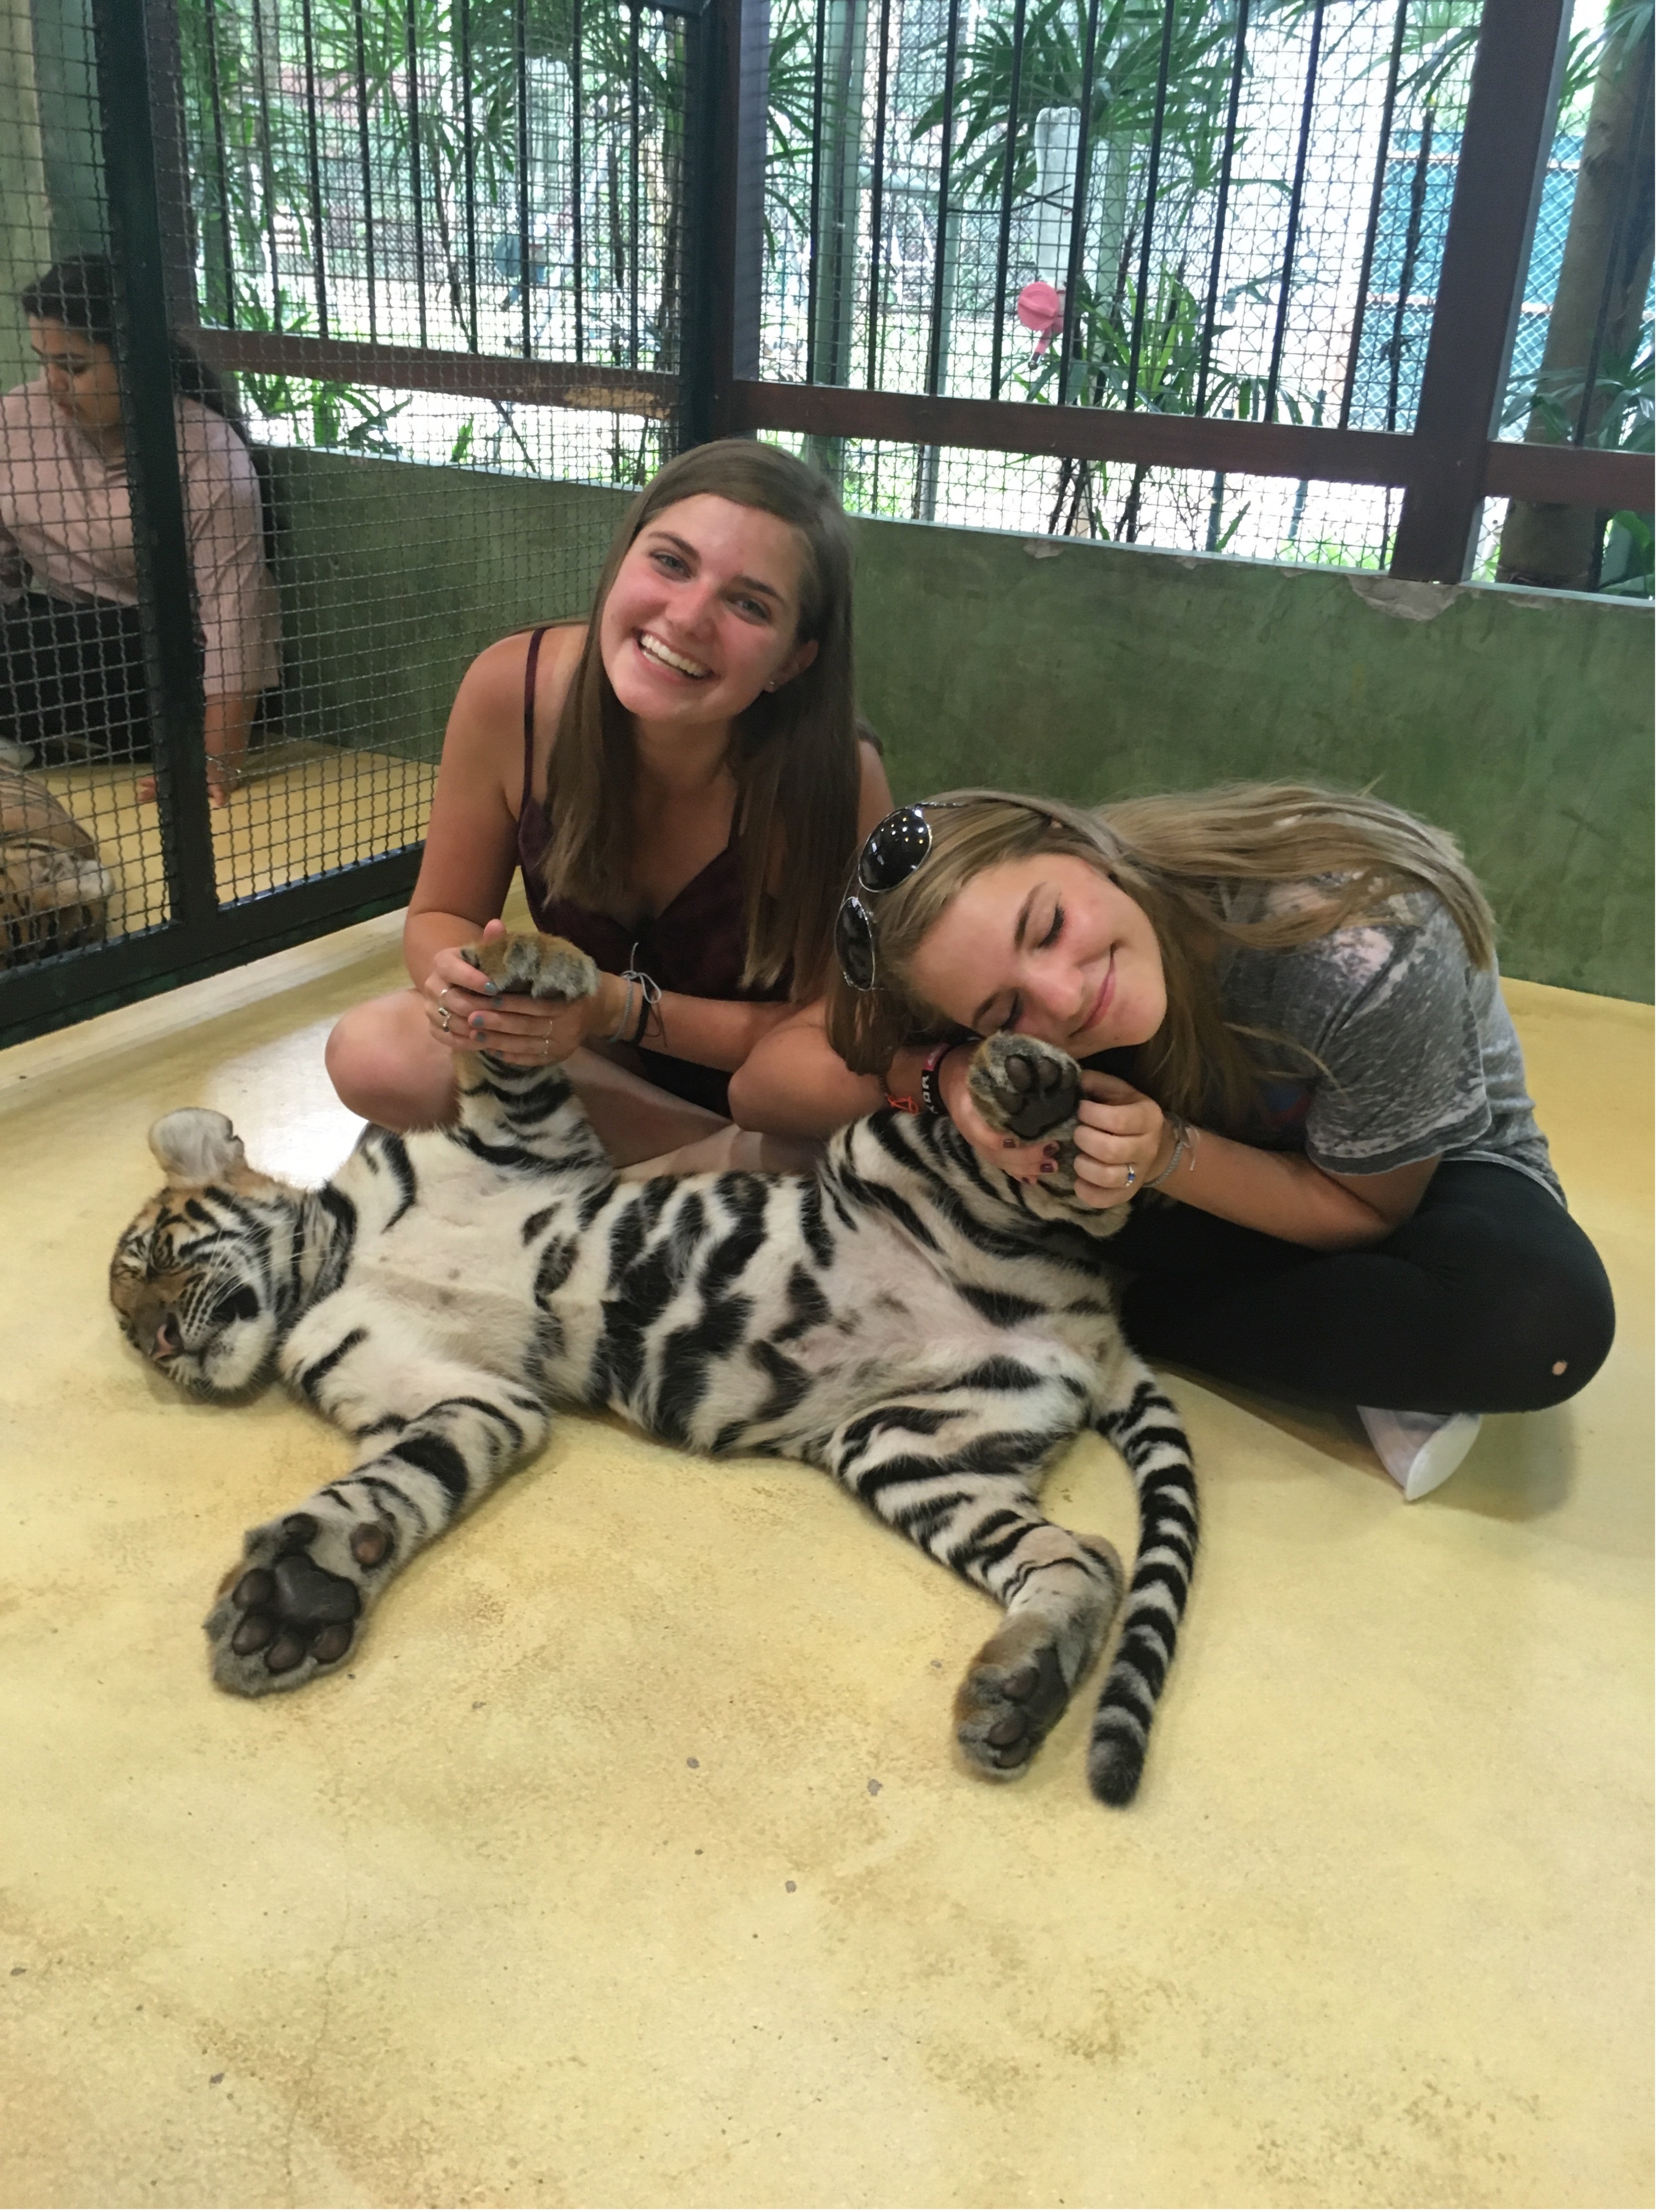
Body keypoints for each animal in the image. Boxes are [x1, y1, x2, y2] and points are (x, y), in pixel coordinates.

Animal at [109, 930, 1198, 1806]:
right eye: (128, 1323)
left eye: (154, 1261)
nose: (159, 1344)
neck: (333, 1264)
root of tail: (1090, 1333)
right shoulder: (465, 1396)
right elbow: (395, 1486)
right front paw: (298, 1596)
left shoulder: (522, 1142)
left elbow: (502, 1061)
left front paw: (527, 960)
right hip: (911, 1449)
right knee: (1086, 1557)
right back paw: (1020, 1687)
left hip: (883, 1150)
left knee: (1088, 1200)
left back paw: (1035, 1089)